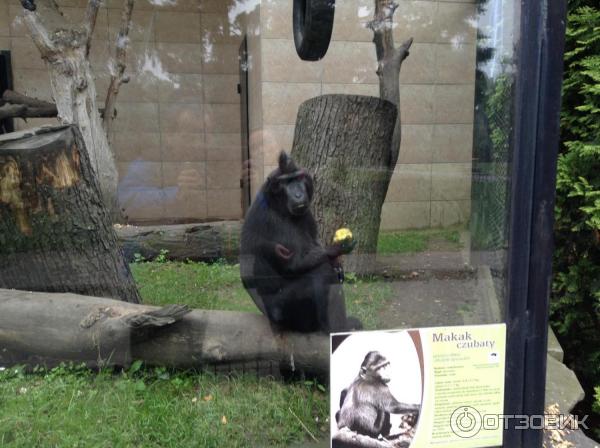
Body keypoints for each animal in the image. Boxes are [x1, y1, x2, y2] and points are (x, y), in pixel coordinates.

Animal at [239, 151, 360, 332]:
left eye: (299, 178)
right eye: (286, 182)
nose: (298, 194)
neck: (278, 205)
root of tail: (268, 318)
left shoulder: (307, 214)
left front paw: (336, 260)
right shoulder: (269, 218)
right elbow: (295, 262)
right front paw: (335, 249)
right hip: (286, 315)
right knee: (321, 271)